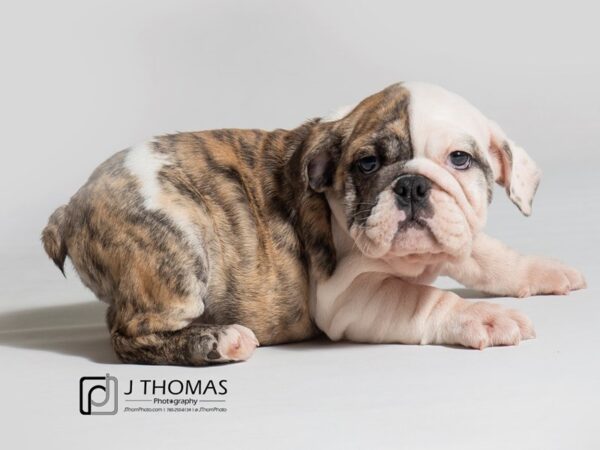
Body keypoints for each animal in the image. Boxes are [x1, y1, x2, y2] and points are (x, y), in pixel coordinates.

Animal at [42, 81, 584, 366]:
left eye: (460, 160)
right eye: (367, 163)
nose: (411, 185)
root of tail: (72, 207)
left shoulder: (457, 234)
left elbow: (490, 255)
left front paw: (542, 271)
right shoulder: (350, 298)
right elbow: (427, 298)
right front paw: (485, 317)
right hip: (175, 256)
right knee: (128, 334)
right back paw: (218, 340)